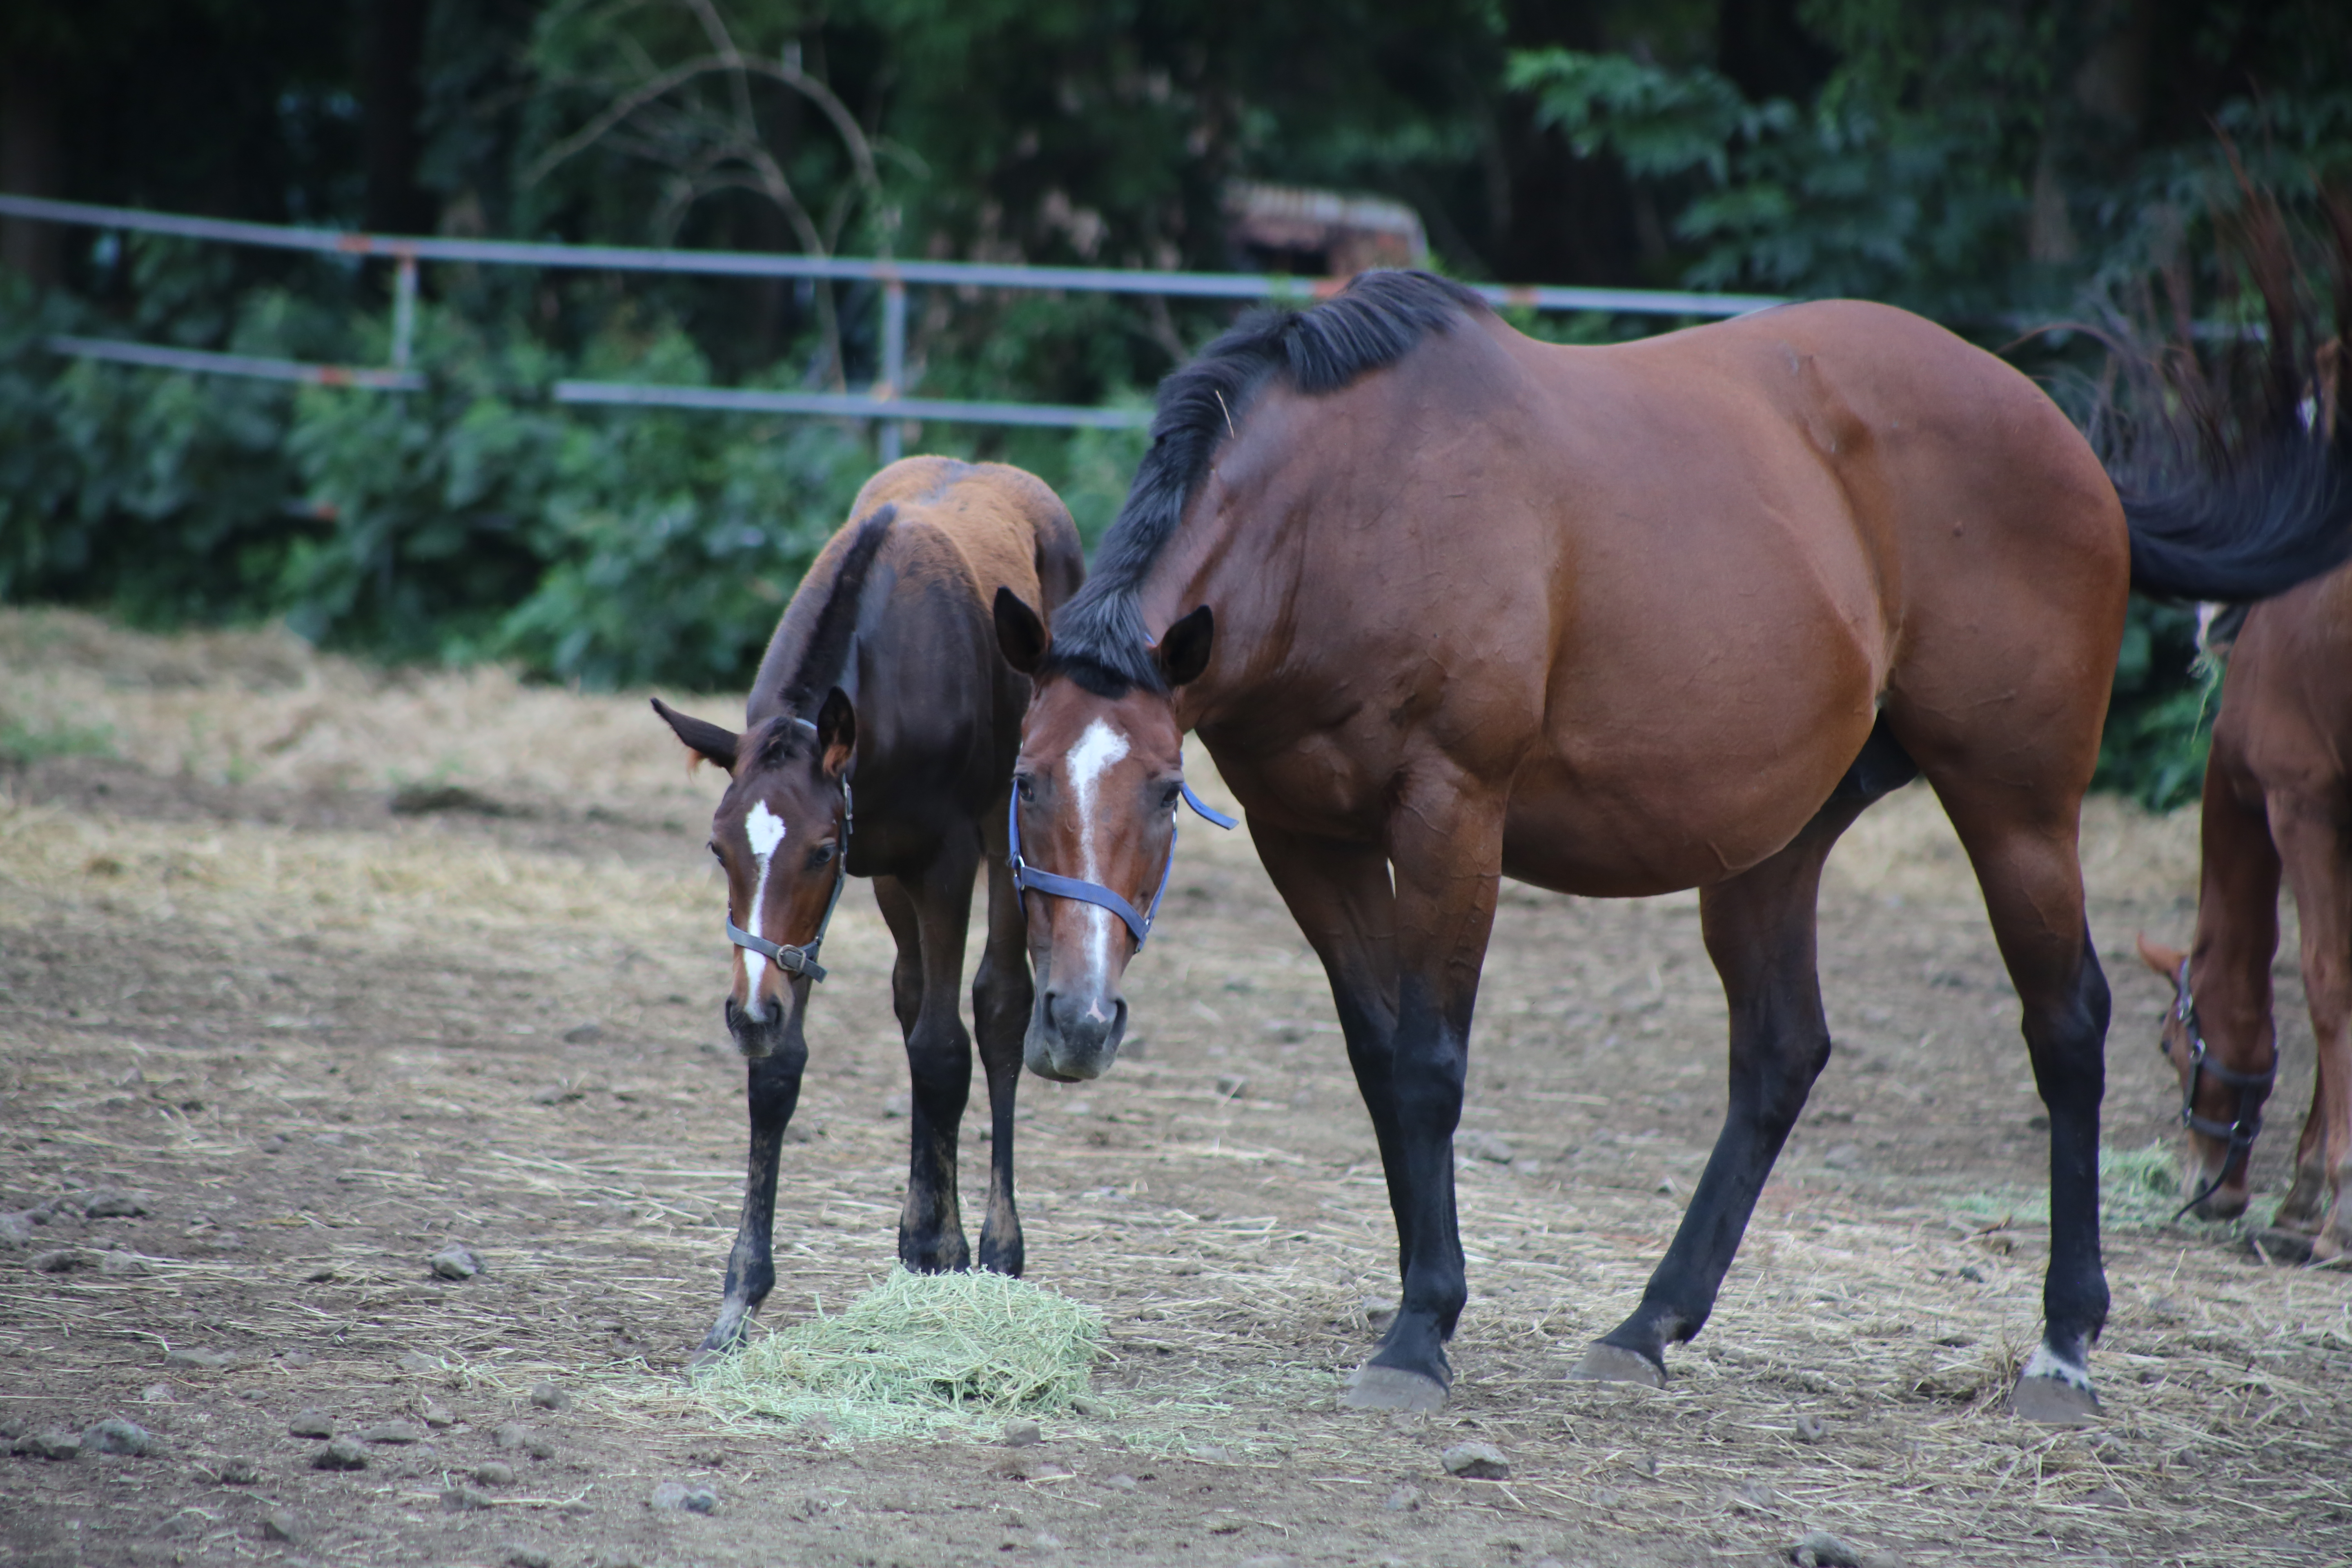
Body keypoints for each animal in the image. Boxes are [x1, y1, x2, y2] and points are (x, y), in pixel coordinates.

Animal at [649, 454, 1077, 1363]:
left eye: (814, 850)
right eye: (718, 849)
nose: (745, 1012)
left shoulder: (941, 858)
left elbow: (945, 1052)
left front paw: (943, 1253)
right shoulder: (848, 885)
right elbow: (781, 1069)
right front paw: (739, 1298)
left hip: (1002, 833)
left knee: (998, 1007)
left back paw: (996, 1247)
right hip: (886, 880)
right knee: (913, 997)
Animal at [988, 276, 2352, 1429]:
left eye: (1166, 793)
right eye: (1023, 777)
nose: (1076, 1023)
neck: (1354, 511)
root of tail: (2074, 452)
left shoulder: (1452, 817)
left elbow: (1430, 1063)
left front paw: (1422, 1328)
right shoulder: (1307, 837)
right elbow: (1380, 1062)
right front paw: (1426, 1291)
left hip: (2016, 807)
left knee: (2066, 1029)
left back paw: (2063, 1346)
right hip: (1773, 846)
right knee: (1781, 1051)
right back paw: (1648, 1322)